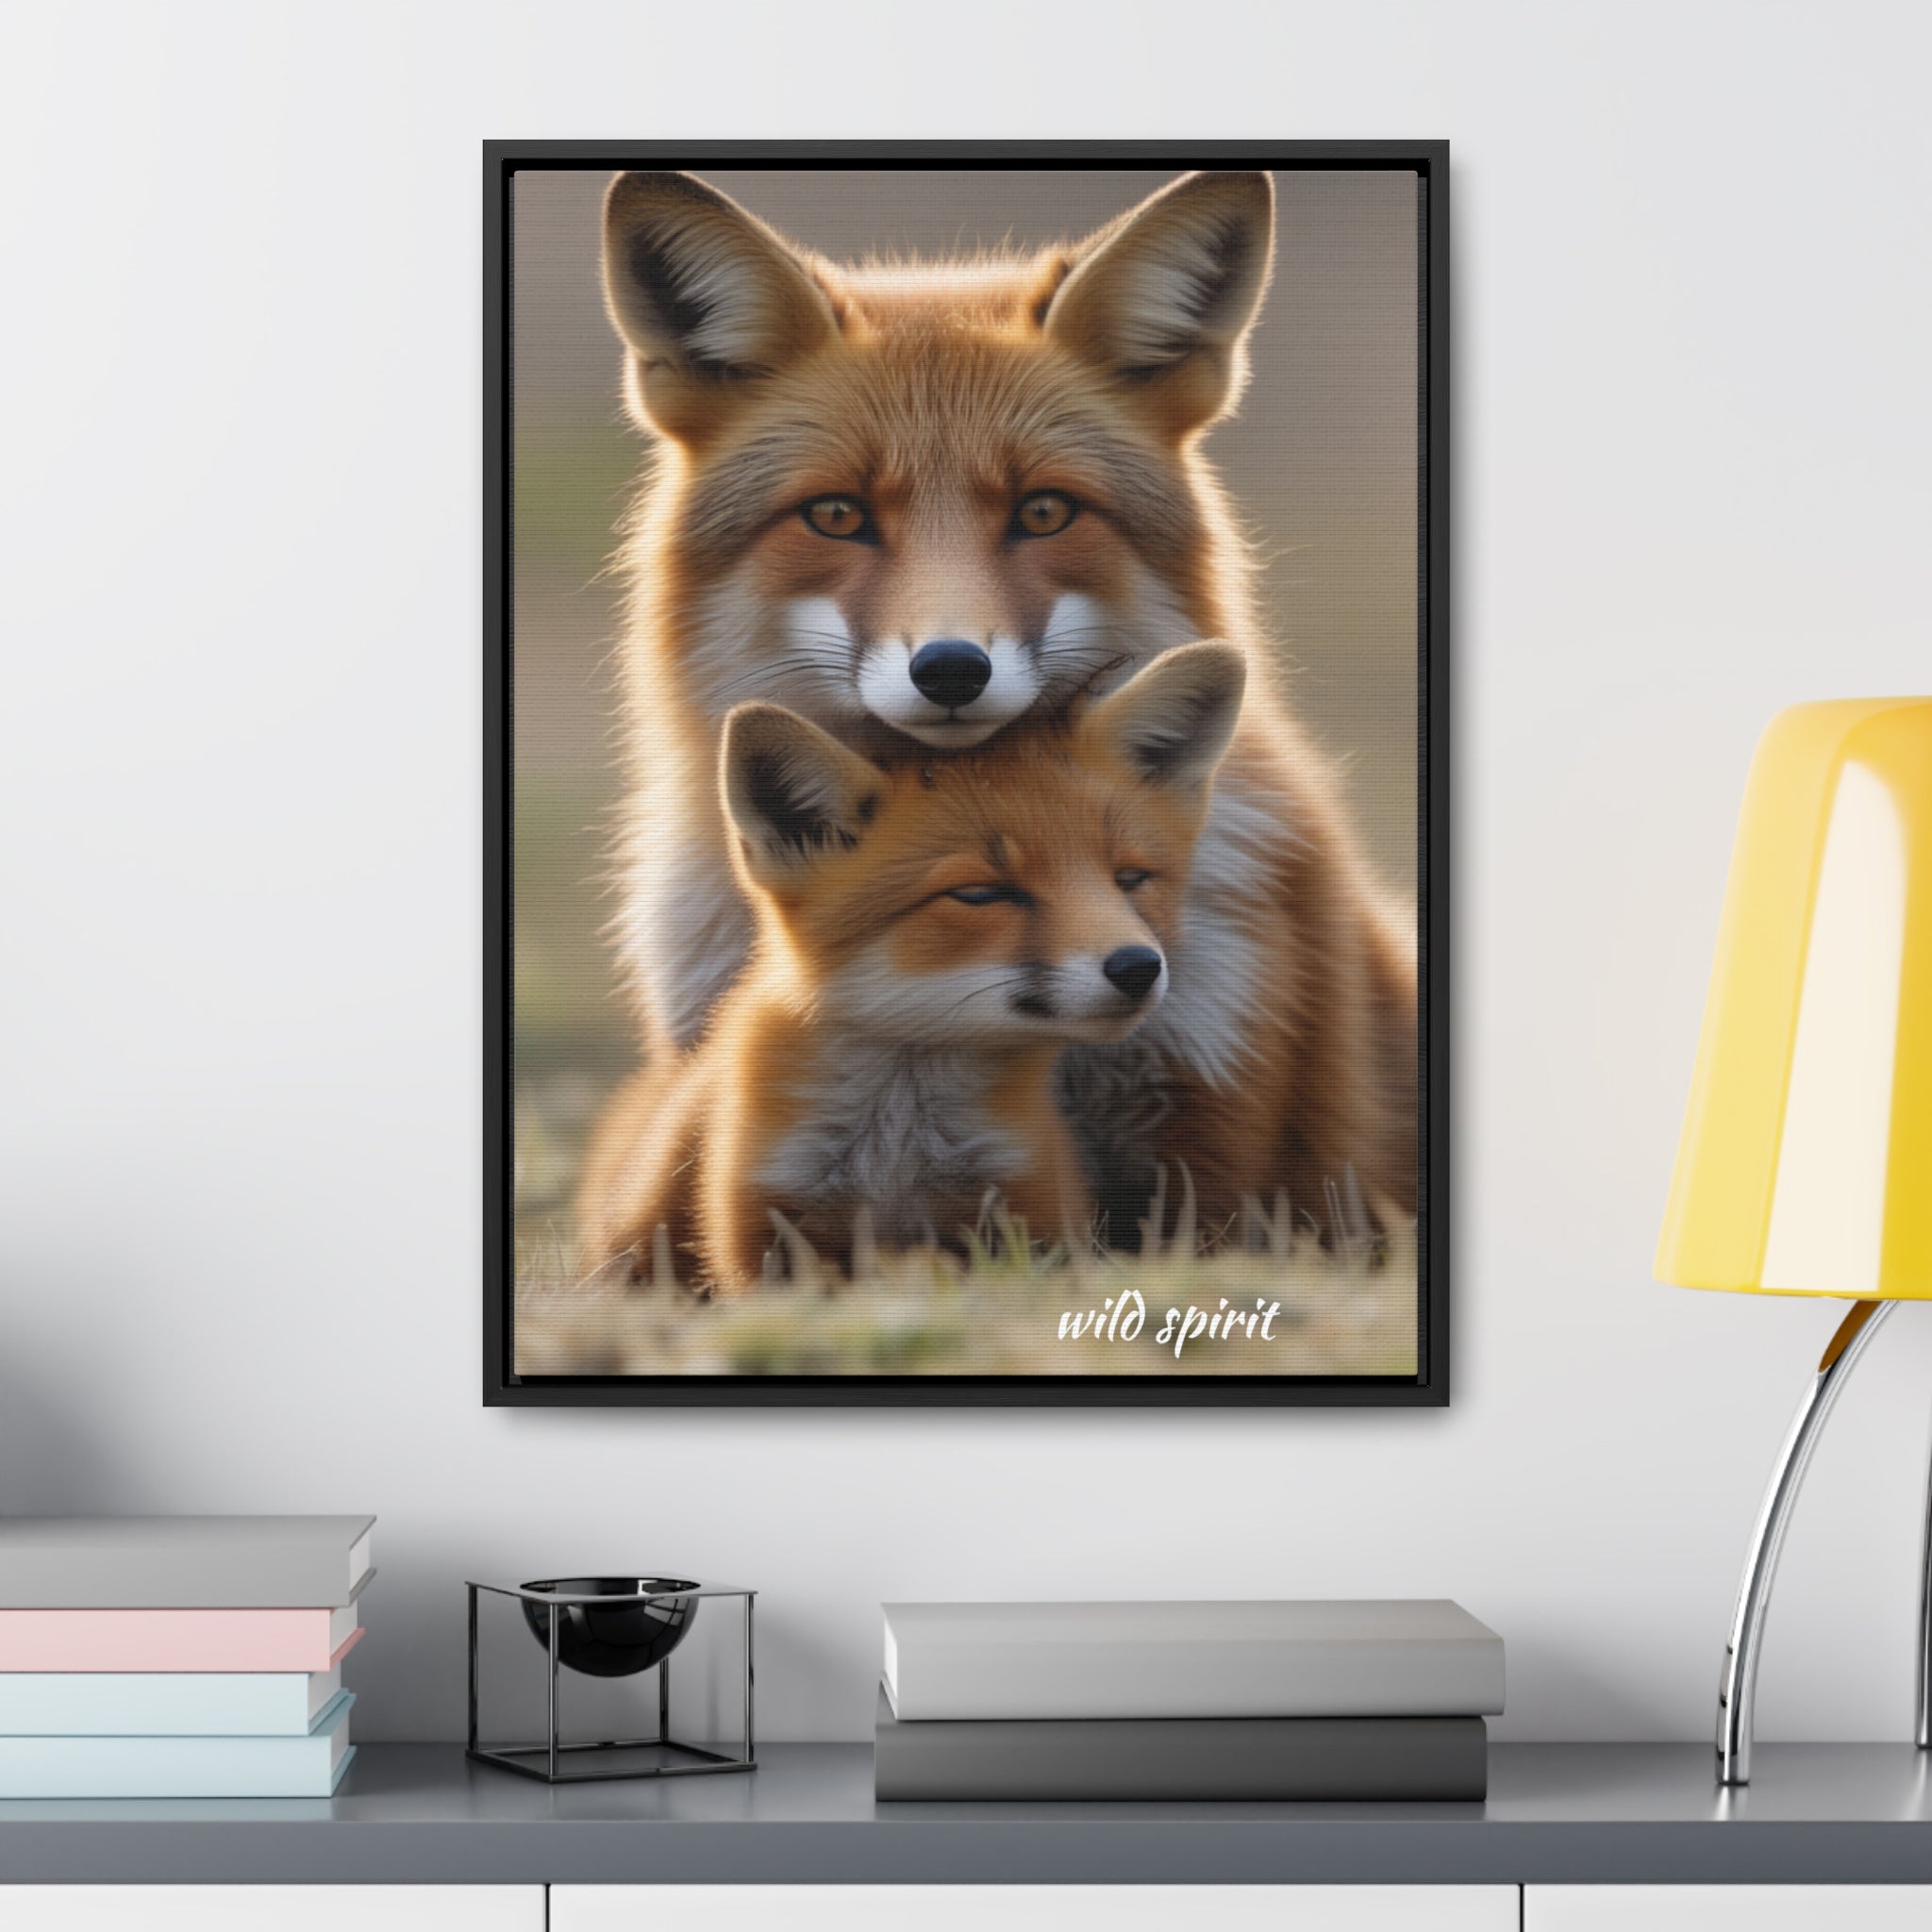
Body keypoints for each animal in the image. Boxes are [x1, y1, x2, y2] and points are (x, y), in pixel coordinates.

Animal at [575, 644, 1246, 1290]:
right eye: (980, 894)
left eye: (1130, 879)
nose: (1138, 967)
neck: (898, 1149)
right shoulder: (766, 1229)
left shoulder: (1029, 1210)